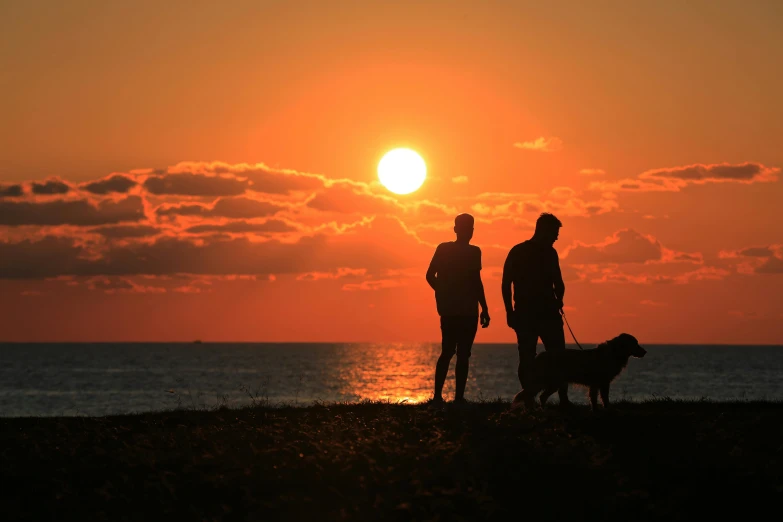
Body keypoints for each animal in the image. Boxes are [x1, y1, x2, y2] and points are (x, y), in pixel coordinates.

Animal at [512, 334, 648, 410]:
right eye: (635, 343)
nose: (645, 352)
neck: (613, 353)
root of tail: (538, 356)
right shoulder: (603, 383)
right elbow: (604, 398)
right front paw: (606, 409)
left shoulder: (596, 384)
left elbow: (594, 398)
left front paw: (595, 410)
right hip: (551, 382)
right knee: (537, 395)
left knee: (540, 396)